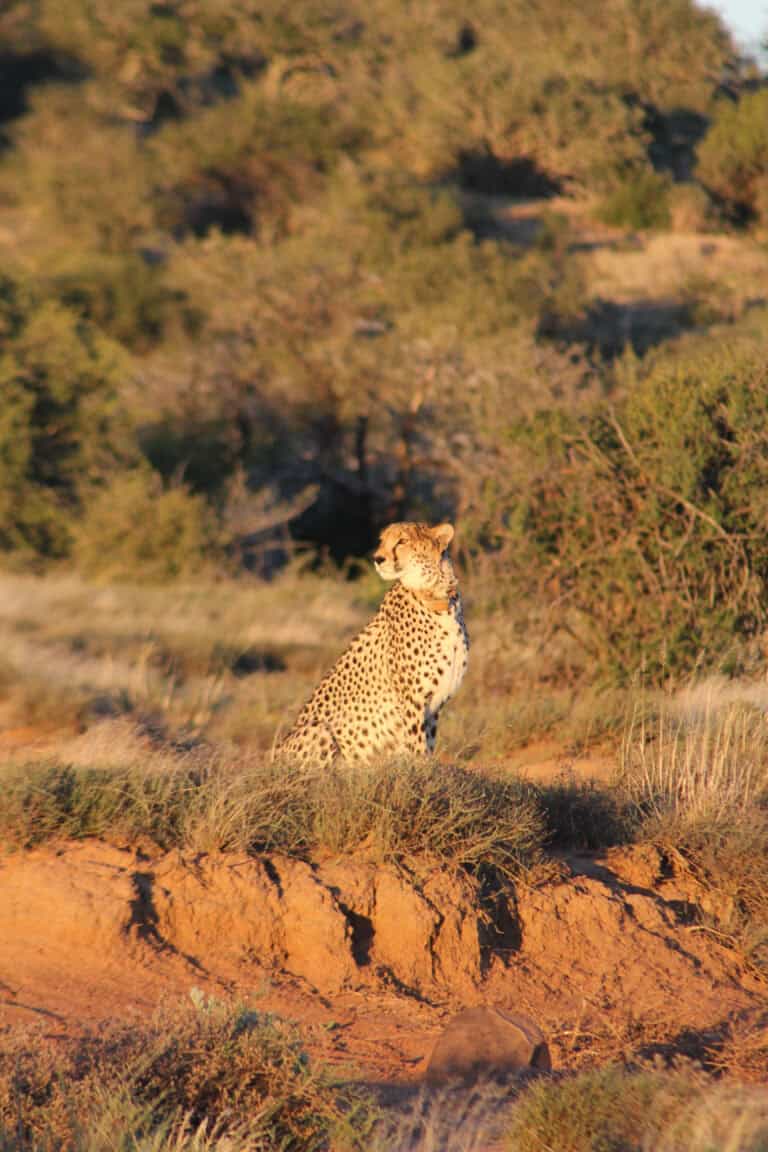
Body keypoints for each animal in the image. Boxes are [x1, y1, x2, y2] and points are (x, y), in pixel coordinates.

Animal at [275, 521, 469, 766]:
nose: (378, 558)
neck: (437, 600)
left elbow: (428, 744)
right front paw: (418, 770)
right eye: (382, 541)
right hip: (317, 730)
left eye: (402, 541)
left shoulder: (434, 704)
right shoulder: (412, 701)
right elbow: (417, 747)